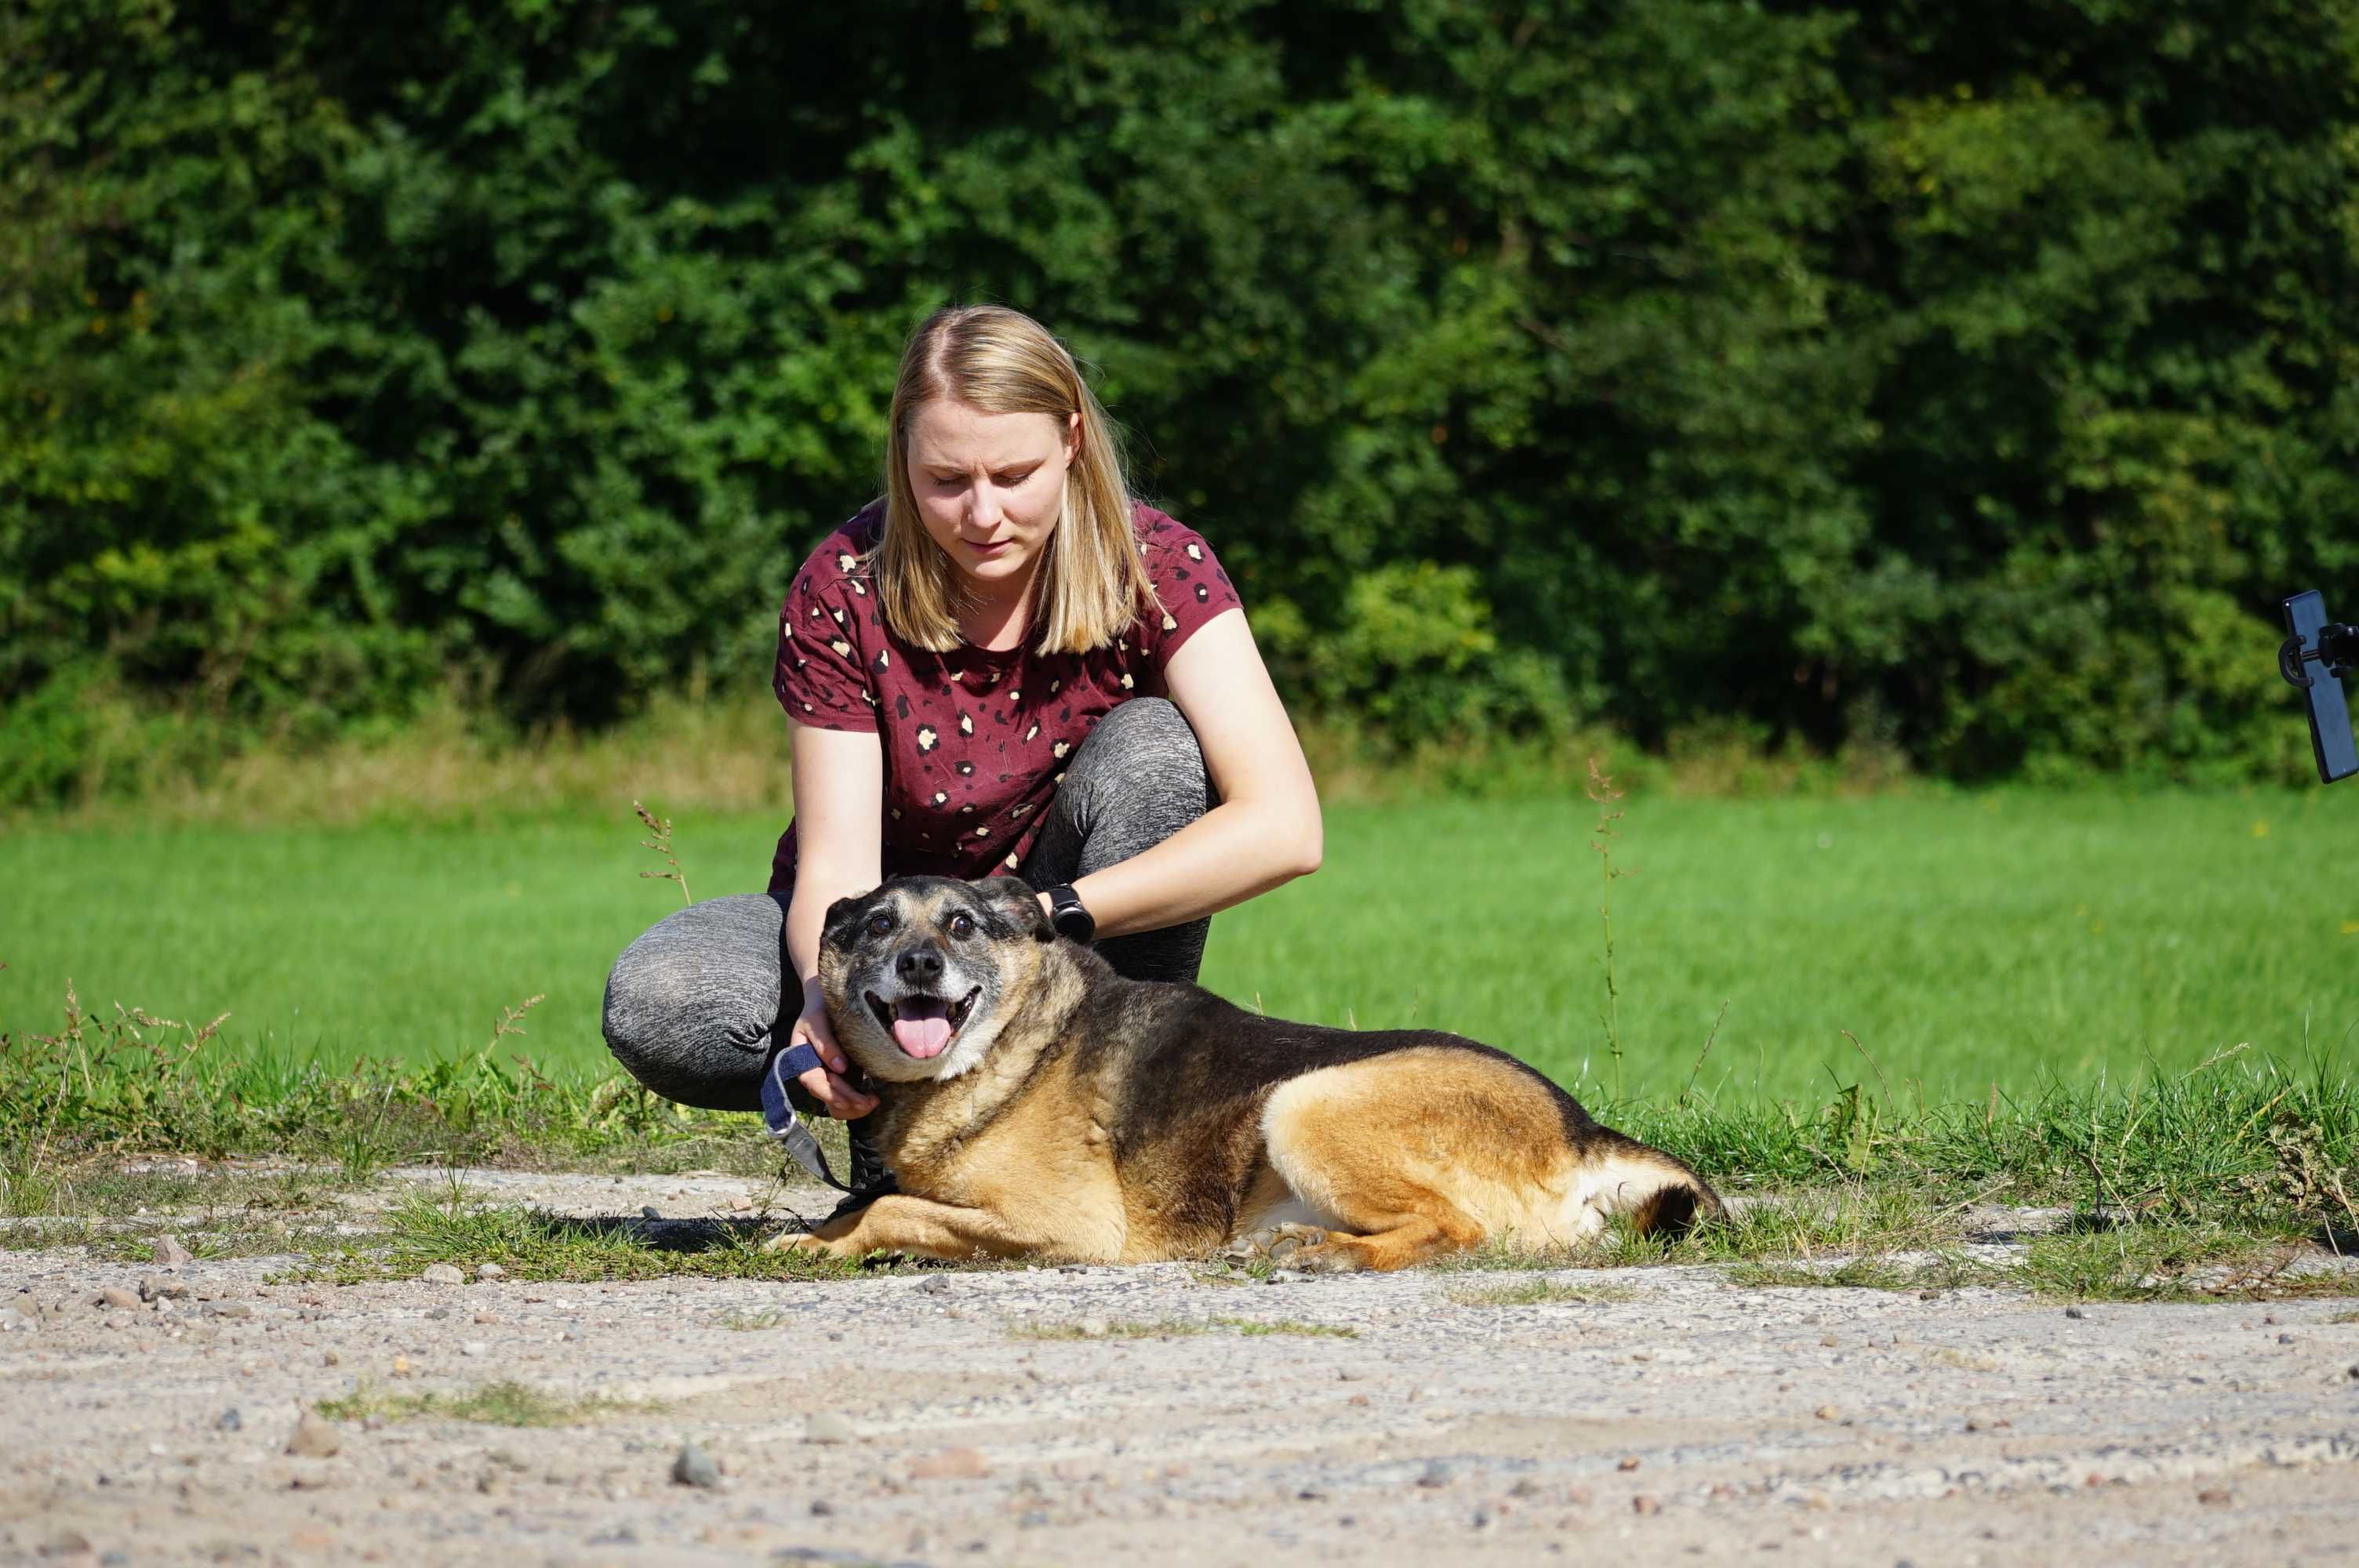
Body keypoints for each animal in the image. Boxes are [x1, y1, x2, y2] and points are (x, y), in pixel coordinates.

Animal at [773, 872, 1717, 1264]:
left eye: (961, 924)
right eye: (876, 925)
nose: (919, 964)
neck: (1007, 1049)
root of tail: (1582, 1132)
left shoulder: (1069, 1226)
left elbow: (890, 1205)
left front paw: (837, 1242)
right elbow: (872, 1202)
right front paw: (813, 1237)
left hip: (1305, 1102)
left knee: (1456, 1229)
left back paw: (1327, 1255)